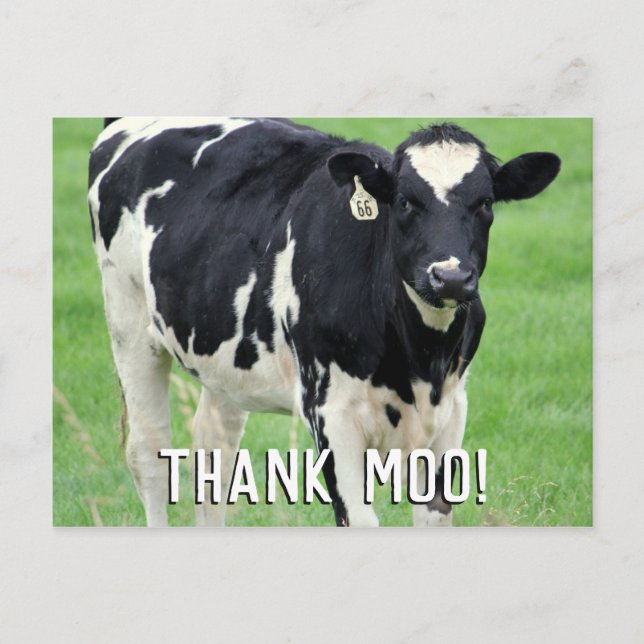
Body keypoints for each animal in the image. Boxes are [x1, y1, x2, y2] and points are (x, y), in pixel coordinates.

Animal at [88, 117, 560, 527]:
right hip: (128, 324)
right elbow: (360, 519)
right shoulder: (329, 412)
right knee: (149, 455)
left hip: (223, 356)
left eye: (485, 203)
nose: (451, 277)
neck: (420, 359)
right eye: (405, 201)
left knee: (214, 457)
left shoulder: (451, 409)